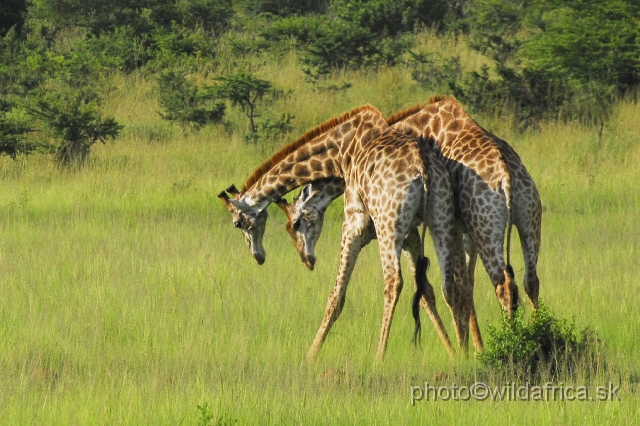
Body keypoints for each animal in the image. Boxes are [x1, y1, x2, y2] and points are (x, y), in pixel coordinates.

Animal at [220, 105, 470, 362]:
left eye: (237, 224)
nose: (258, 257)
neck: (342, 151)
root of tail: (422, 166)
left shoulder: (353, 223)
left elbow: (336, 295)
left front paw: (310, 356)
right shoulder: (410, 233)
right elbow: (426, 291)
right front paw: (452, 351)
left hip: (387, 224)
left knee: (393, 281)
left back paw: (378, 357)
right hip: (440, 218)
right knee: (449, 285)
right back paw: (462, 353)